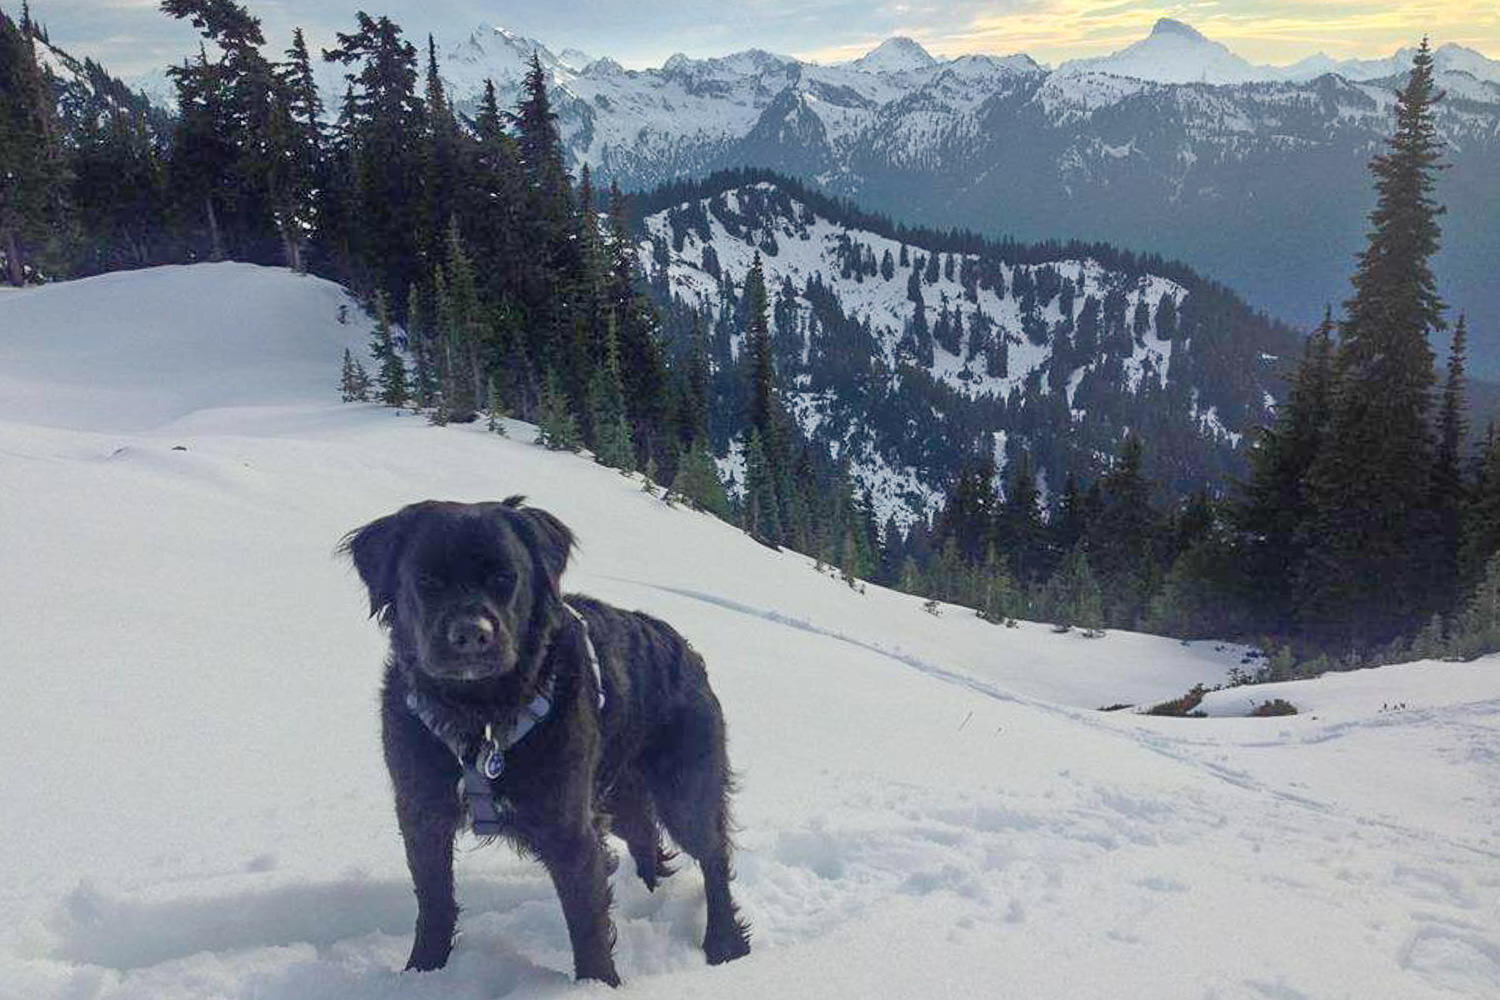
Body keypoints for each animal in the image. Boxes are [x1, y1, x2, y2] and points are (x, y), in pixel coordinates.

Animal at [342, 500, 750, 983]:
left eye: (505, 577)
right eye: (427, 580)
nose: (471, 634)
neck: (479, 718)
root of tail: (683, 648)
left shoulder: (568, 826)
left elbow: (588, 923)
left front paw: (597, 986)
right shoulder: (422, 812)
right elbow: (434, 901)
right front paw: (423, 974)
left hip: (685, 790)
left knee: (713, 856)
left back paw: (724, 944)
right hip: (621, 796)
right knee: (646, 838)